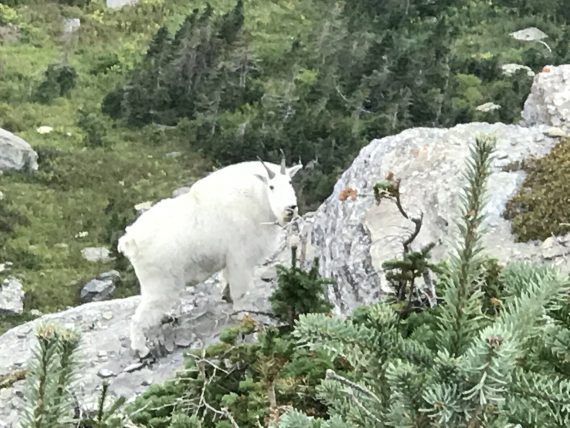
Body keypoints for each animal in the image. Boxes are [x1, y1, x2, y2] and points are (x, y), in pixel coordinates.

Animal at [116, 155, 302, 356]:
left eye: (290, 182)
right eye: (272, 186)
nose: (290, 208)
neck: (256, 198)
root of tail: (130, 241)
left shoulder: (231, 259)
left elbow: (227, 280)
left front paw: (226, 297)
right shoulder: (240, 256)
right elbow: (240, 291)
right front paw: (242, 315)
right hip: (160, 284)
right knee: (138, 318)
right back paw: (142, 349)